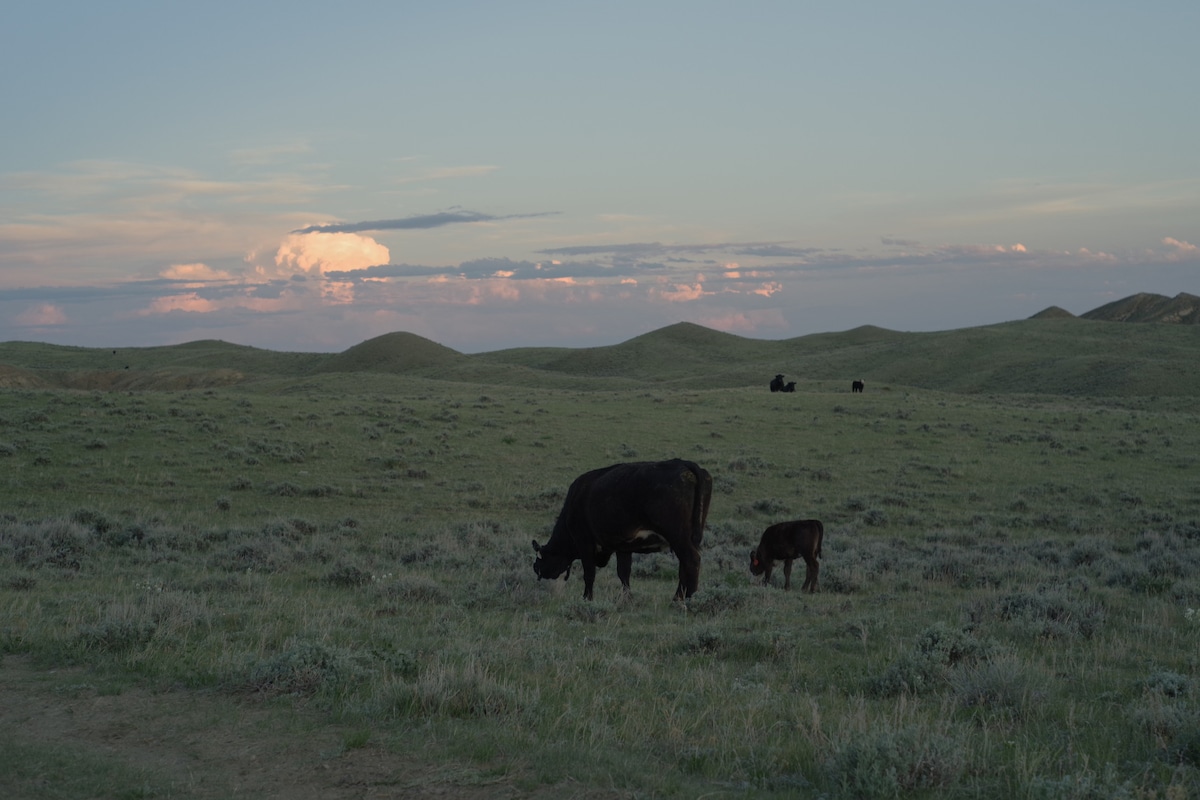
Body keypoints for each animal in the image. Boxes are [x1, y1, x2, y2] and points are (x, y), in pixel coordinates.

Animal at [535, 455, 710, 599]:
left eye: (537, 566)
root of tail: (684, 463)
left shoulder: (584, 542)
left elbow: (589, 574)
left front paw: (587, 598)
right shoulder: (623, 547)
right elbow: (624, 573)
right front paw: (627, 598)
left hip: (678, 537)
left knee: (691, 561)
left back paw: (682, 598)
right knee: (684, 566)